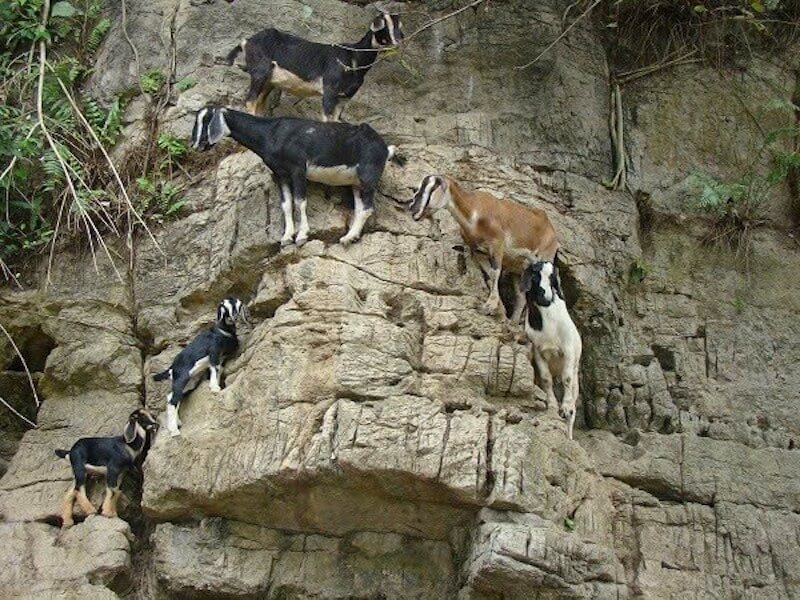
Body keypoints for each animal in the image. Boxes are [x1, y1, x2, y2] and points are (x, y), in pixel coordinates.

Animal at [152, 298, 246, 437]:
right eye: (225, 306)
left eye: (236, 305)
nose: (234, 317)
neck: (223, 331)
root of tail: (171, 369)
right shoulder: (214, 351)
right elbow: (214, 368)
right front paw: (215, 388)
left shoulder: (222, 357)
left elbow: (219, 370)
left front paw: (217, 385)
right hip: (181, 378)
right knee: (173, 400)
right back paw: (174, 430)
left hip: (189, 382)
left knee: (172, 397)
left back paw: (178, 422)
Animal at [191, 106, 403, 246]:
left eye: (206, 119)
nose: (195, 145)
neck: (271, 133)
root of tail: (385, 149)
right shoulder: (281, 174)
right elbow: (286, 204)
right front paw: (286, 237)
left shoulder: (298, 169)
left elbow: (300, 202)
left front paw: (301, 236)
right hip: (356, 183)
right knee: (360, 208)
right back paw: (350, 237)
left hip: (368, 175)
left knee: (367, 208)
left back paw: (348, 238)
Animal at [226, 13, 403, 121]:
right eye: (385, 26)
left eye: (399, 26)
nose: (399, 40)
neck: (354, 58)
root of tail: (246, 41)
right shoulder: (330, 91)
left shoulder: (343, 98)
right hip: (260, 73)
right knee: (250, 100)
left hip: (269, 82)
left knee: (259, 103)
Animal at [405, 175, 559, 319]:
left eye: (432, 188)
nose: (412, 208)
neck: (474, 215)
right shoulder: (479, 251)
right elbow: (490, 274)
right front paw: (500, 309)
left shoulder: (497, 245)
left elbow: (495, 272)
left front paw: (489, 306)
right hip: (519, 270)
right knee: (521, 297)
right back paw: (513, 323)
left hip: (543, 257)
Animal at [521, 261, 582, 440]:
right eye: (535, 275)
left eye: (552, 278)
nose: (546, 298)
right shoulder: (538, 351)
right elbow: (546, 378)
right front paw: (553, 406)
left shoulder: (568, 349)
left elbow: (567, 378)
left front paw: (565, 408)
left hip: (576, 377)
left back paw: (569, 434)